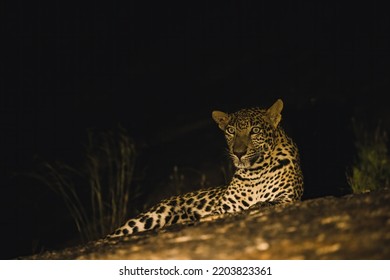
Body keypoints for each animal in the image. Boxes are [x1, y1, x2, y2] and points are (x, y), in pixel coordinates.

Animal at [105, 98, 304, 238]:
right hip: (148, 217)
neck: (256, 171)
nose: (238, 152)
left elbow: (267, 202)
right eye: (230, 131)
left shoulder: (288, 197)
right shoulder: (223, 208)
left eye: (255, 131)